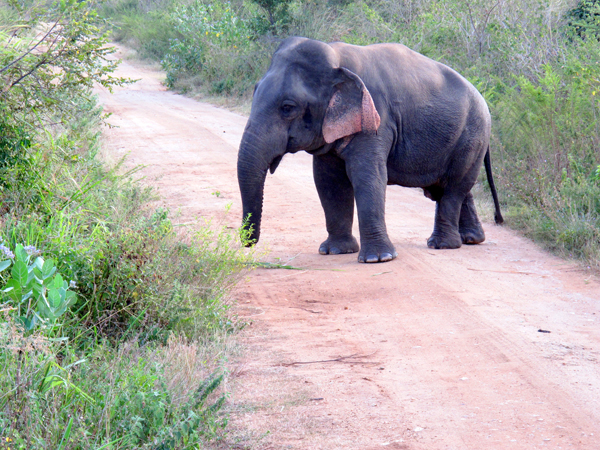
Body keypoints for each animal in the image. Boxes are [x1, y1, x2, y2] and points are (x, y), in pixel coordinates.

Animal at [237, 38, 504, 266]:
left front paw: (378, 259)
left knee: (453, 187)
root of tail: (483, 100)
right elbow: (328, 181)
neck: (336, 59)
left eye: (287, 107)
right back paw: (471, 239)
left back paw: (442, 245)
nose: (248, 243)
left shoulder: (377, 119)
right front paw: (335, 251)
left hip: (473, 135)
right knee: (452, 188)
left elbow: (367, 175)